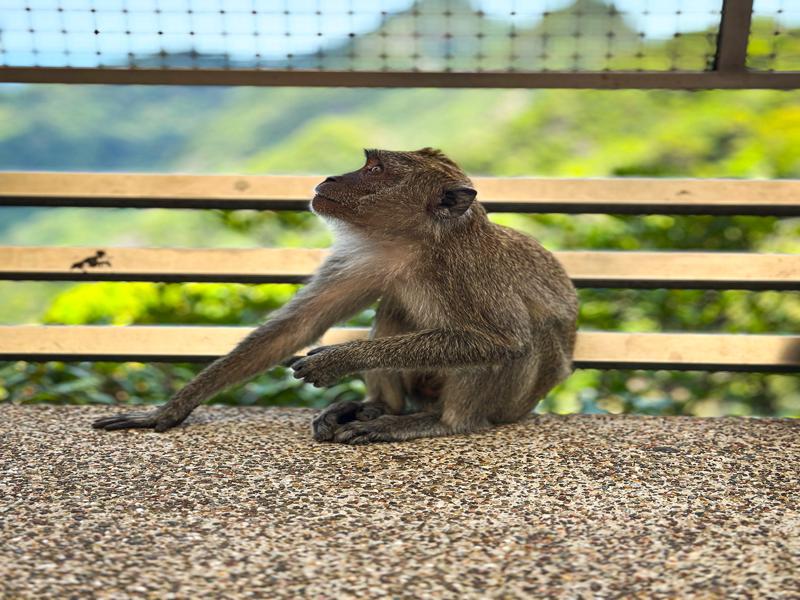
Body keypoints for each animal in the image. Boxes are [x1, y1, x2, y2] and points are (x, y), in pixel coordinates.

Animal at [93, 148, 579, 444]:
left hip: (511, 402)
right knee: (393, 308)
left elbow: (503, 341)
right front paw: (169, 410)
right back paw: (378, 407)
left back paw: (436, 422)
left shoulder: (470, 271)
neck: (419, 245)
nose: (329, 177)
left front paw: (340, 359)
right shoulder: (372, 258)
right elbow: (299, 324)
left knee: (524, 339)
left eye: (375, 170)